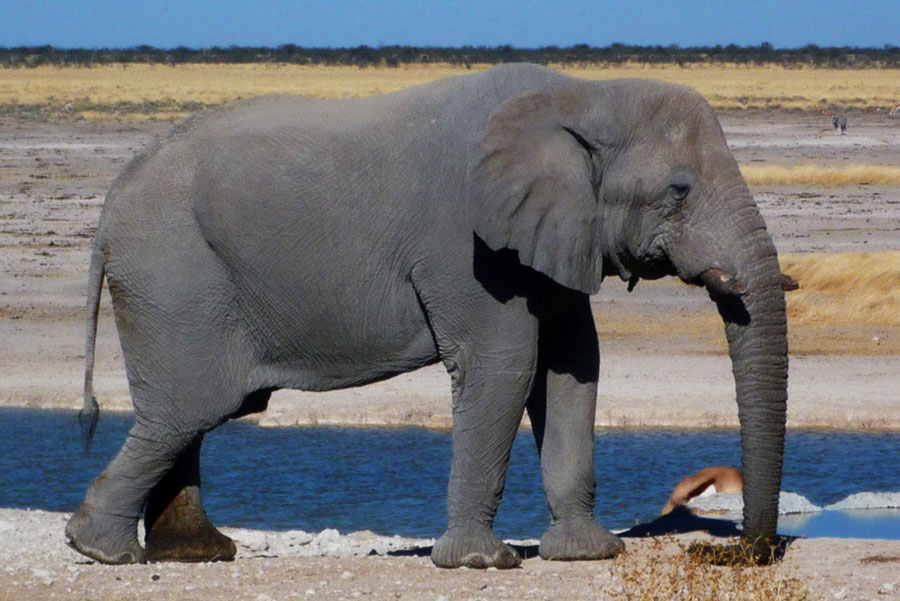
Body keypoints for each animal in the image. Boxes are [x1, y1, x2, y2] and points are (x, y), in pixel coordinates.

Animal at [67, 63, 792, 568]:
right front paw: (481, 563)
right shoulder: (467, 246)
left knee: (192, 415)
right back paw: (101, 550)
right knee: (191, 407)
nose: (730, 553)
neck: (583, 95)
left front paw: (588, 554)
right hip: (173, 275)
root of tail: (108, 207)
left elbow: (572, 369)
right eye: (679, 190)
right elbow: (505, 366)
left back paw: (192, 554)